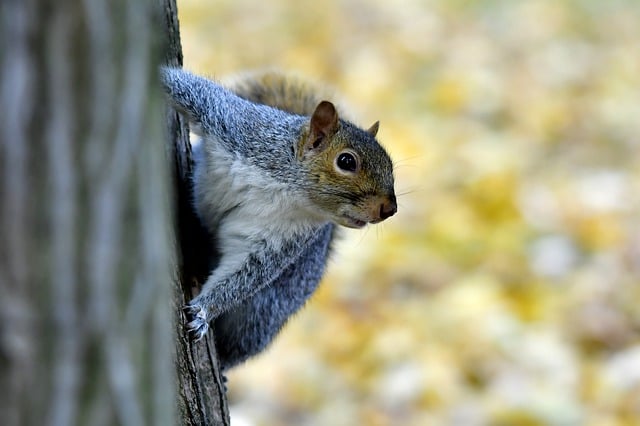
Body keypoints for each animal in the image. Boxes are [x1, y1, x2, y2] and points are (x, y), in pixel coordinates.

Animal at [160, 67, 397, 371]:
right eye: (346, 161)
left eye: (390, 166)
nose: (390, 209)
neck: (288, 190)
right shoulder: (235, 125)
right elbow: (189, 89)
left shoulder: (280, 239)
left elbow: (245, 274)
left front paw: (203, 311)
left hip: (264, 312)